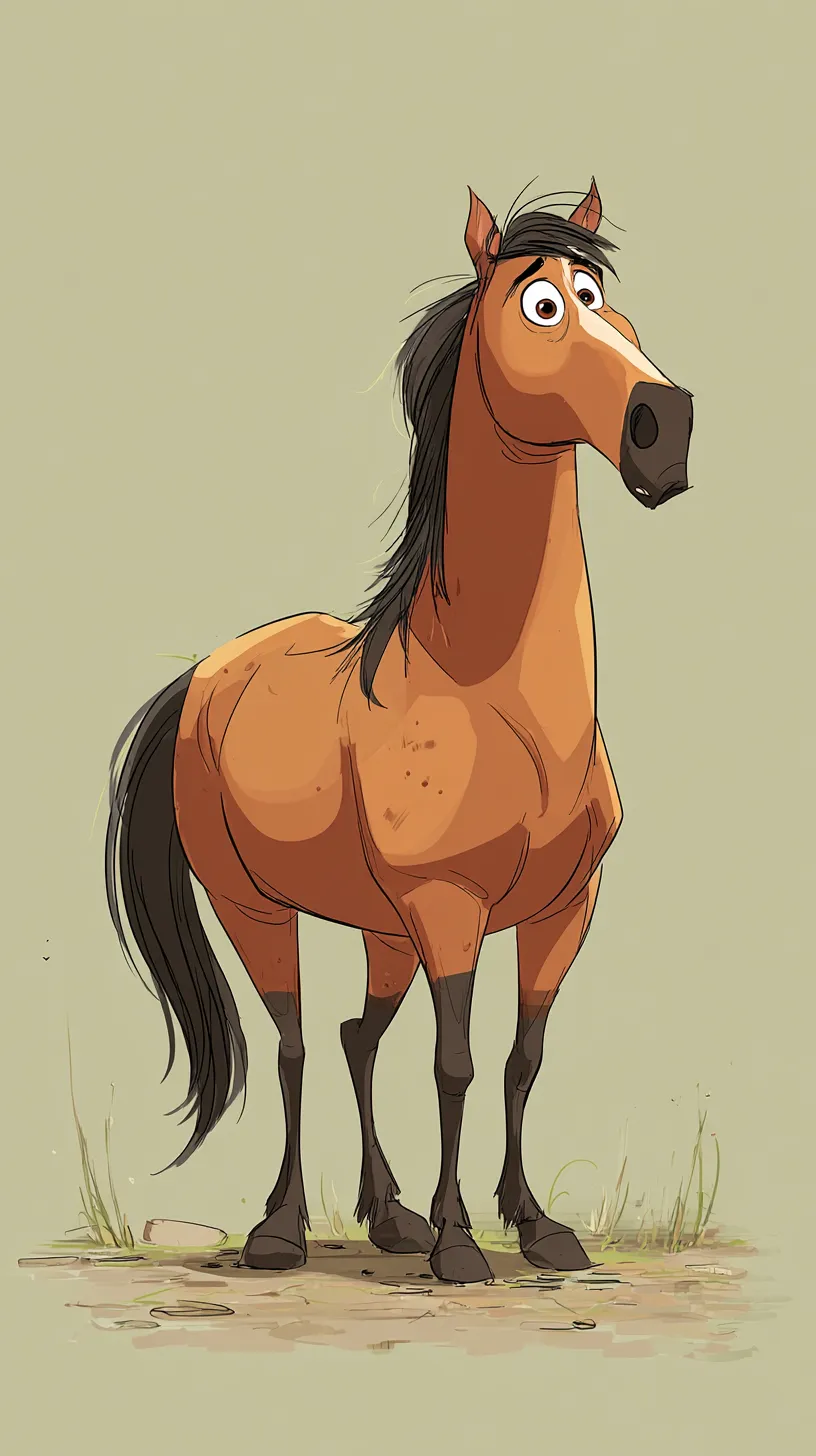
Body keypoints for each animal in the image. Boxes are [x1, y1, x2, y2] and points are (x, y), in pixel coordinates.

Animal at [105, 178, 693, 1285]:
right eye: (543, 304)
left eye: (601, 296)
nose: (664, 426)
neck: (486, 687)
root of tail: (206, 674)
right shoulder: (448, 905)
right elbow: (454, 1062)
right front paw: (463, 1244)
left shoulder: (565, 909)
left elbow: (521, 1059)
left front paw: (536, 1226)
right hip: (258, 909)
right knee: (294, 1043)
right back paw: (282, 1231)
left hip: (381, 929)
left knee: (352, 1034)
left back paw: (388, 1218)